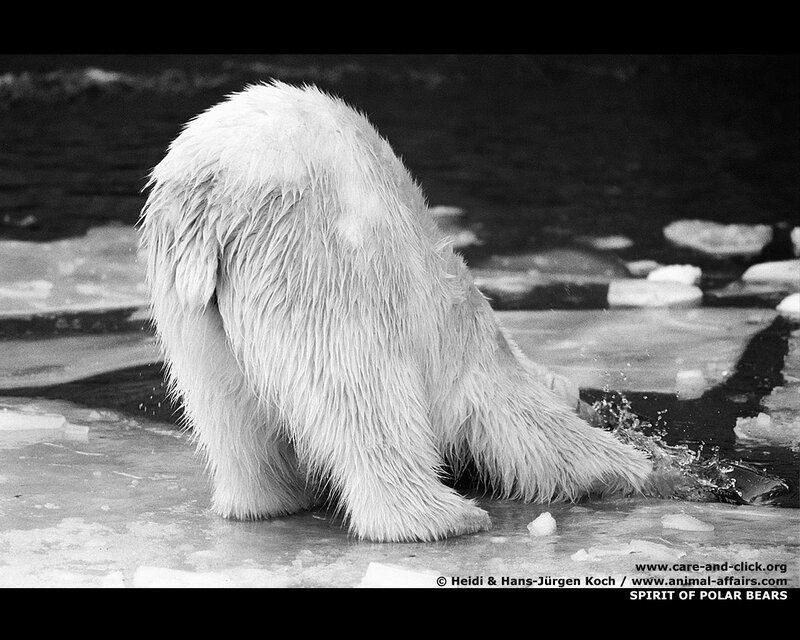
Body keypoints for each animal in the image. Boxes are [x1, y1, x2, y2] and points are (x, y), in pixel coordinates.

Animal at [138, 81, 653, 542]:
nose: (597, 408)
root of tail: (210, 193)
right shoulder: (472, 363)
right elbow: (534, 431)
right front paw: (640, 469)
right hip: (322, 262)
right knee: (363, 388)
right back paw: (446, 517)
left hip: (188, 309)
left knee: (227, 416)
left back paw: (268, 500)